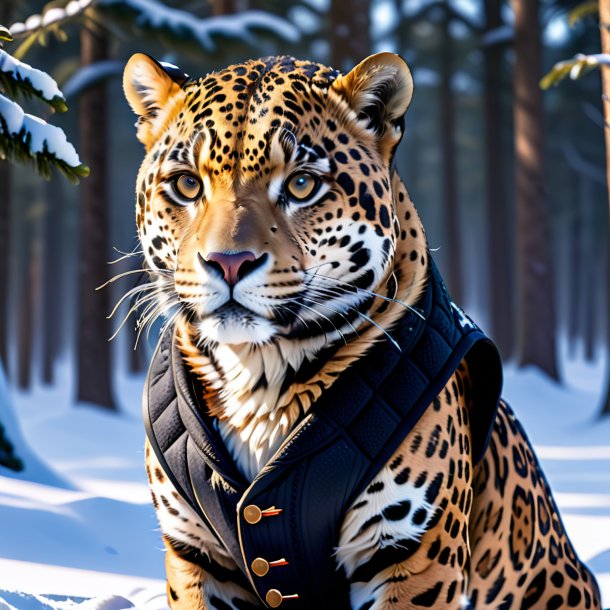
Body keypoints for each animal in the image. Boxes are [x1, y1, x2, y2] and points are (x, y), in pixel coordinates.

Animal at [122, 53, 600, 608]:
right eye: (186, 185)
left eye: (301, 185)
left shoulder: (412, 554)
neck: (256, 377)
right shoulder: (194, 554)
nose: (228, 261)